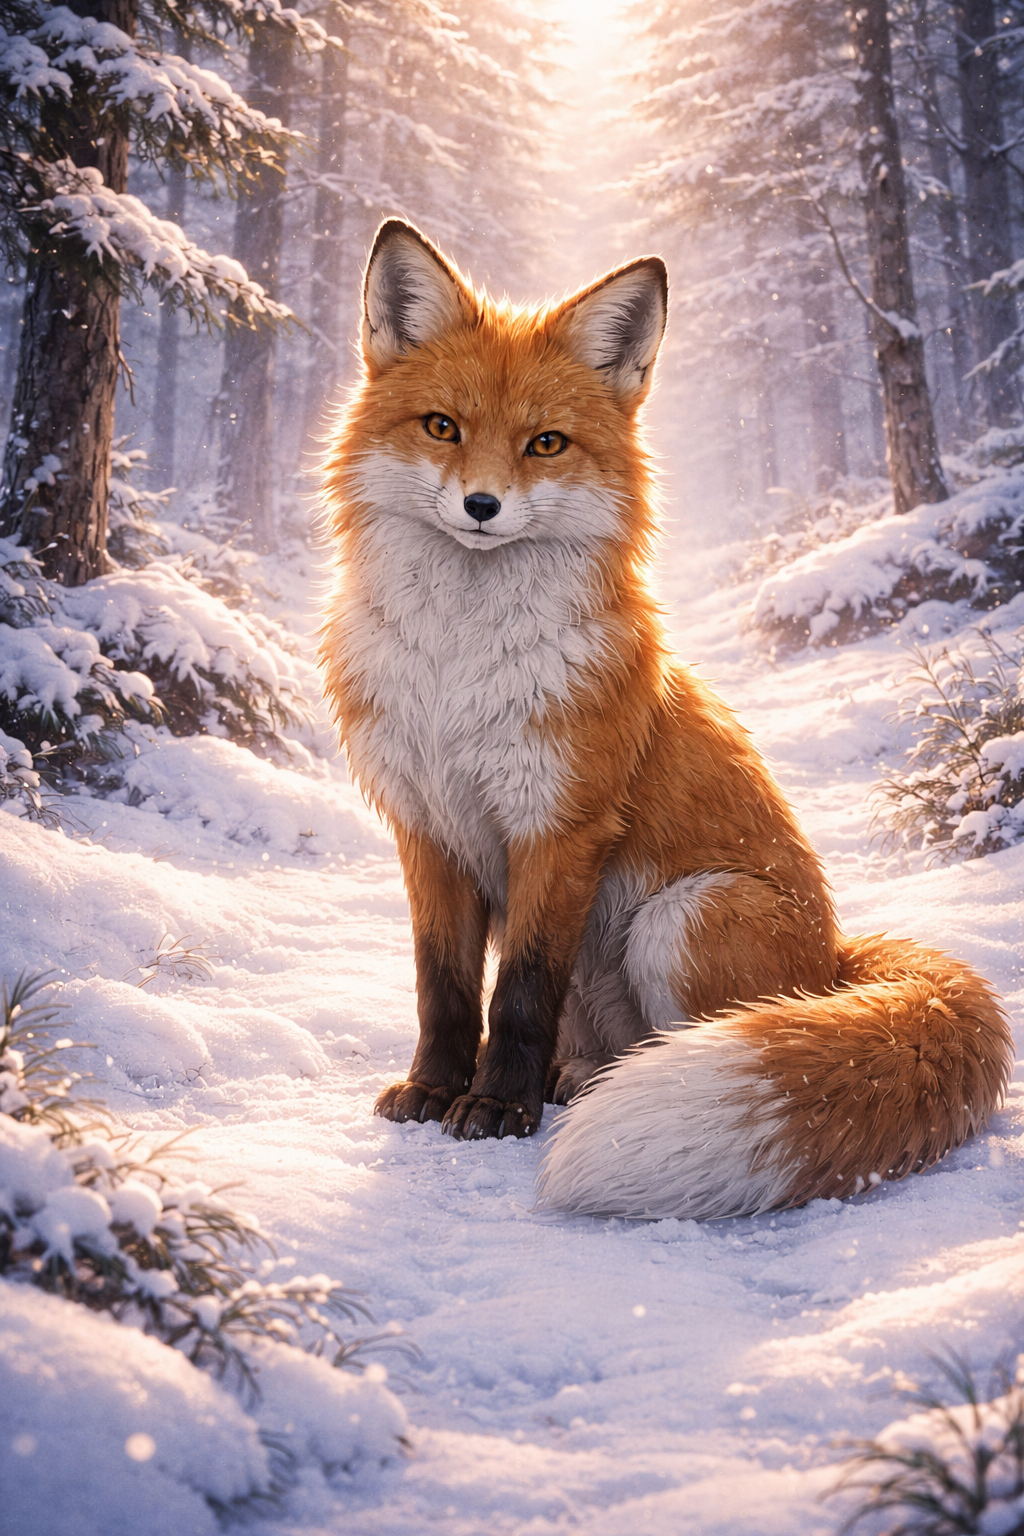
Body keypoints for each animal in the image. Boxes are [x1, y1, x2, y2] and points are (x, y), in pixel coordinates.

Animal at [319, 217, 1013, 1221]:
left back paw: (597, 1090)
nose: (481, 506)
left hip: (684, 916)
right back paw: (573, 1081)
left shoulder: (560, 824)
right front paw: (434, 1089)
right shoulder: (427, 826)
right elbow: (443, 989)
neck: (459, 671)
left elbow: (518, 992)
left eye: (546, 444)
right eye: (442, 427)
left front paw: (496, 1108)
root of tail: (836, 961)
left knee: (702, 1032)